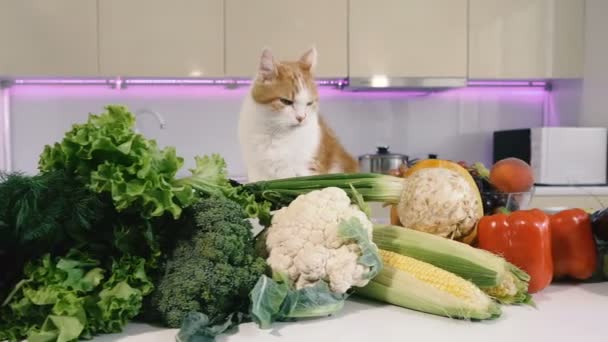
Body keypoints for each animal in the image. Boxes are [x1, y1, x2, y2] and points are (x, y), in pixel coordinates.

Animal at [239, 47, 360, 184]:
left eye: (309, 103)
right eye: (286, 101)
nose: (301, 118)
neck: (277, 134)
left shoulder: (306, 168)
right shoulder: (256, 169)